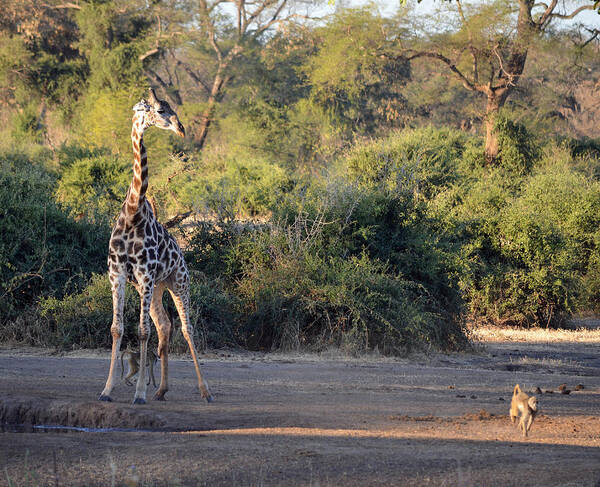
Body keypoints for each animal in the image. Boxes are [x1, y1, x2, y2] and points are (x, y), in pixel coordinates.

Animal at [101, 89, 216, 406]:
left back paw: (205, 391)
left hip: (177, 282)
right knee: (165, 326)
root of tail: (181, 256)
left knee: (186, 328)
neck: (132, 212)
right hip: (156, 288)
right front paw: (106, 390)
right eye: (160, 110)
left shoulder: (144, 274)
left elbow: (142, 331)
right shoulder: (118, 274)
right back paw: (162, 389)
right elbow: (117, 328)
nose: (181, 128)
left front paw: (138, 394)